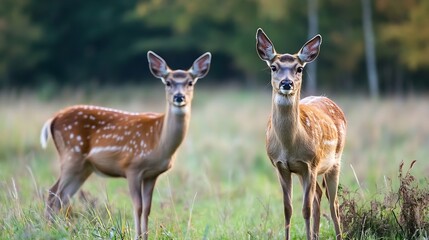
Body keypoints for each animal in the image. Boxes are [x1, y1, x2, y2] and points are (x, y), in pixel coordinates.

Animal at [41, 51, 211, 240]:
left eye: (190, 82)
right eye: (168, 82)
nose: (179, 97)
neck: (159, 141)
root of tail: (53, 119)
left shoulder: (152, 174)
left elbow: (147, 208)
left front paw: (145, 236)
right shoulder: (132, 167)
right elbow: (138, 206)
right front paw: (138, 236)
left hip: (84, 167)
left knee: (62, 196)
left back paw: (56, 229)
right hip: (71, 155)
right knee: (53, 193)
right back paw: (49, 230)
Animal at [256, 27, 346, 238]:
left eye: (299, 68)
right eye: (273, 67)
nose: (286, 83)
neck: (289, 144)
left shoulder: (310, 164)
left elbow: (305, 209)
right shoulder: (281, 166)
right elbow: (287, 209)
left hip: (335, 161)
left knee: (333, 203)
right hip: (304, 172)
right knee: (319, 196)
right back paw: (316, 234)